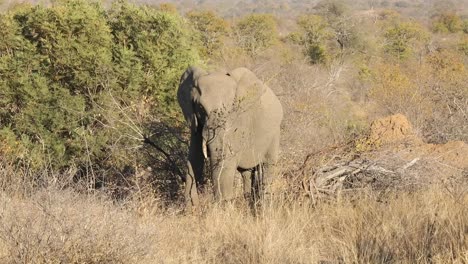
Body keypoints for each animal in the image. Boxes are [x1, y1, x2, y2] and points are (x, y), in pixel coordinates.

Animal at [177, 65, 284, 208]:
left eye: (232, 109)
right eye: (200, 107)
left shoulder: (237, 123)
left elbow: (227, 160)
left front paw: (223, 207)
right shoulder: (195, 123)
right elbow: (194, 157)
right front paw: (191, 208)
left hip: (274, 134)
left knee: (266, 168)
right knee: (247, 173)